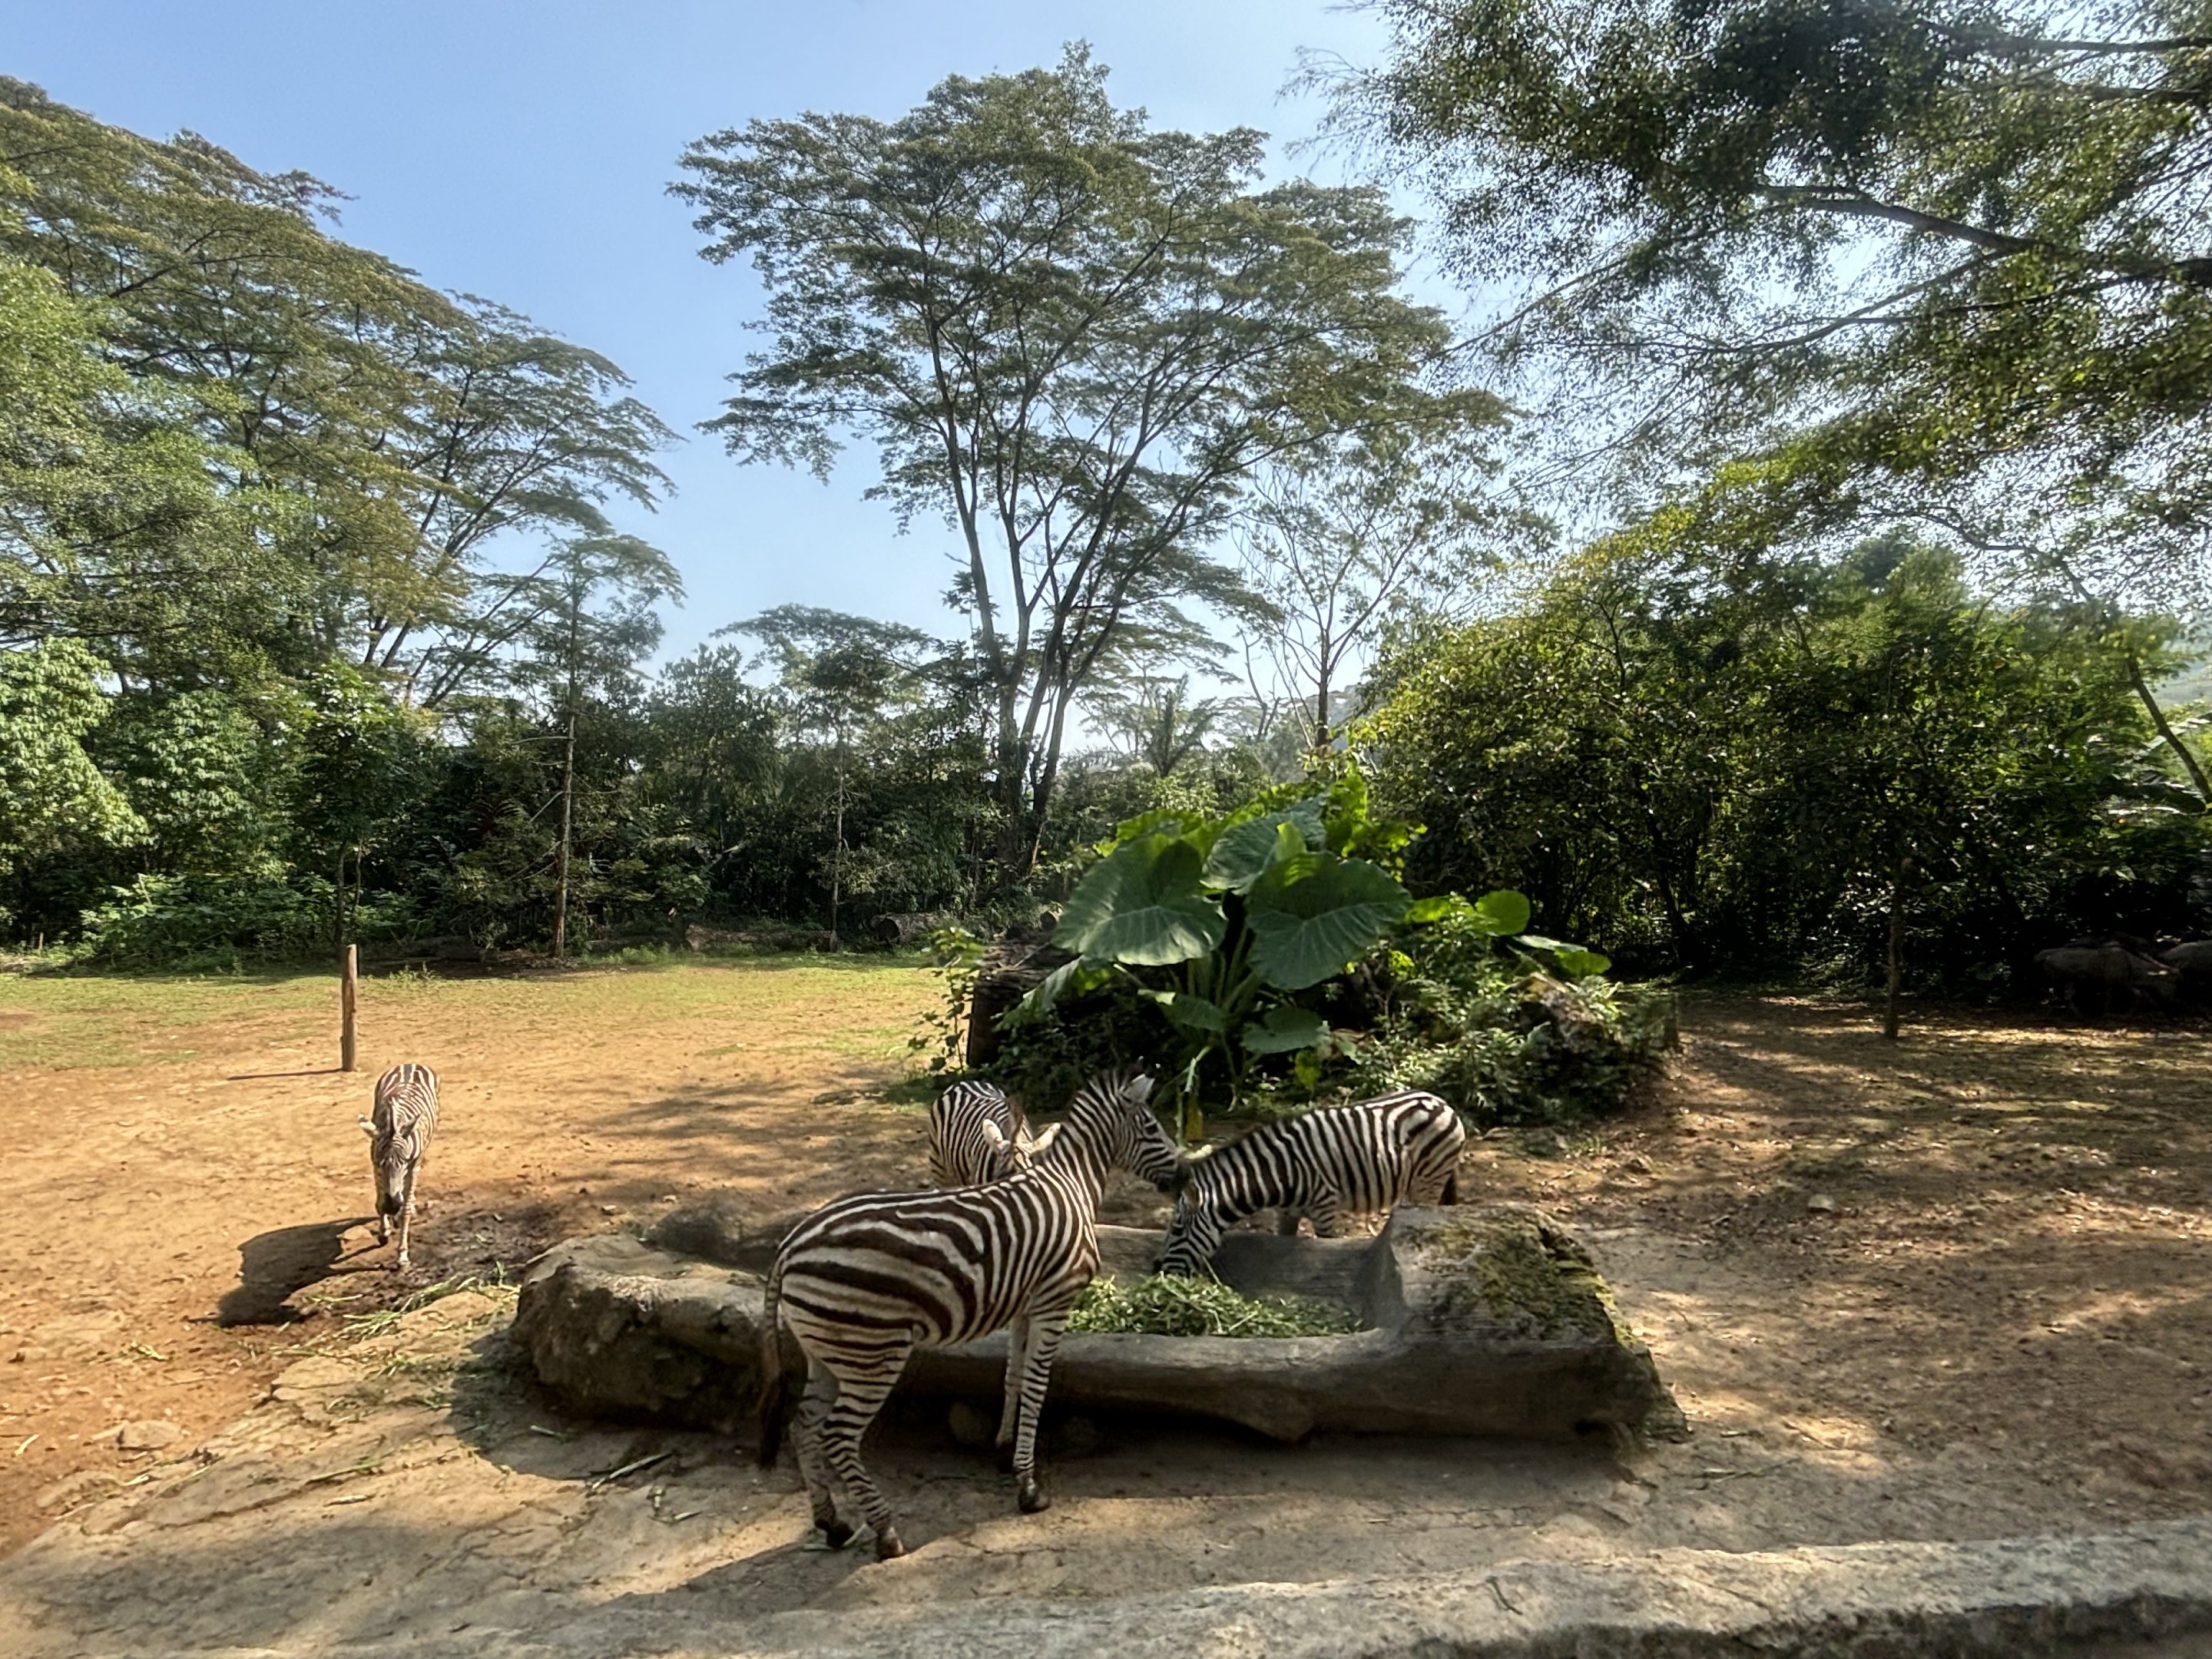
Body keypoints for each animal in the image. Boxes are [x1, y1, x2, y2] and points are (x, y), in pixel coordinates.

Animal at [358, 1063, 439, 1268]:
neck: (394, 1122)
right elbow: (379, 1201)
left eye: (405, 1161)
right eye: (380, 1164)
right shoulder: (374, 1163)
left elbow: (406, 1210)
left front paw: (402, 1253)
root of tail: (412, 1063)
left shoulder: (412, 1166)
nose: (392, 1206)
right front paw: (384, 1232)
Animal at [1155, 1090, 1464, 1278]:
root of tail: (1441, 1102)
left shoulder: (1324, 1209)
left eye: (1177, 1229)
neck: (1278, 1173)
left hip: (1429, 1179)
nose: (1158, 1270)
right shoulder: (1286, 1213)